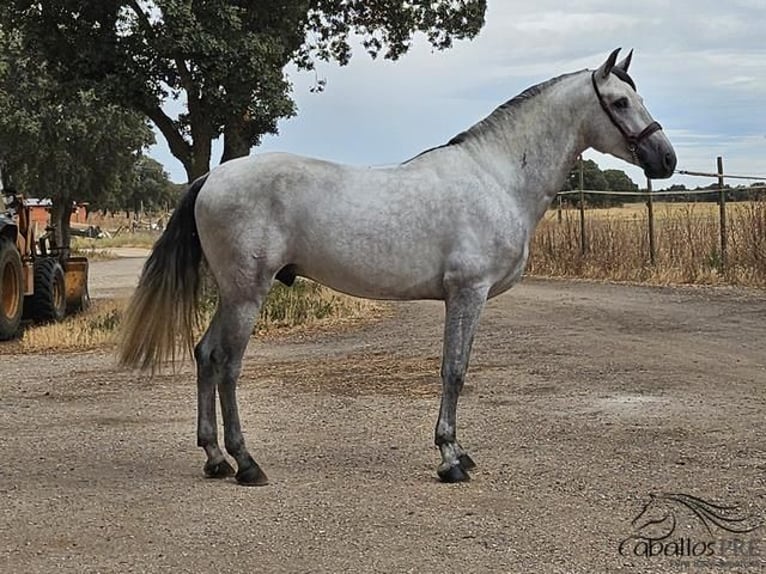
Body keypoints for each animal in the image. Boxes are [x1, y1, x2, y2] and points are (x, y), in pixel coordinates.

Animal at [120, 49, 680, 488]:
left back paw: (214, 457)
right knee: (228, 364)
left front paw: (460, 453)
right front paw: (450, 459)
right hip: (246, 293)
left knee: (206, 355)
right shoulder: (467, 292)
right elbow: (454, 370)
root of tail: (211, 178)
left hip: (232, 293)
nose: (667, 159)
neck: (496, 176)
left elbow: (458, 368)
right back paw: (246, 463)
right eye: (622, 102)